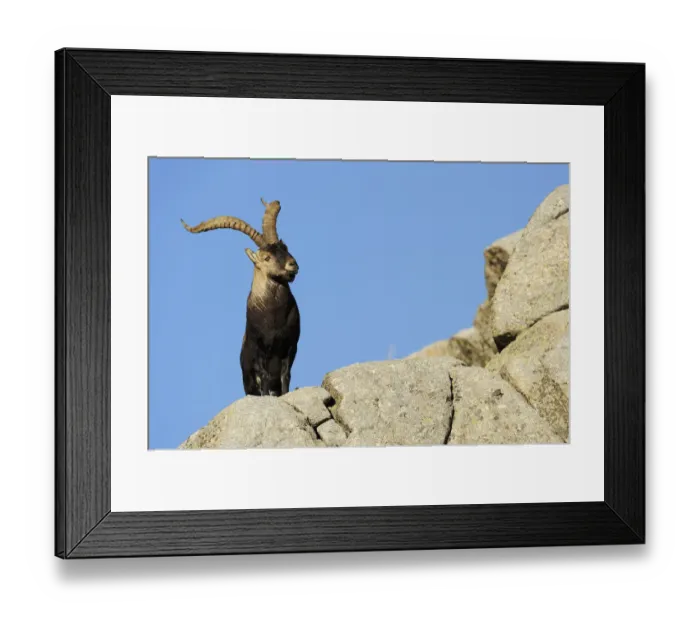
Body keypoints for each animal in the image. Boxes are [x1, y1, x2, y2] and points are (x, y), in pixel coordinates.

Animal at [181, 198, 300, 397]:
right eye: (266, 258)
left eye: (285, 248)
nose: (293, 265)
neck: (274, 317)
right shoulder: (259, 350)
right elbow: (264, 377)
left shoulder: (290, 346)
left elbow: (286, 375)